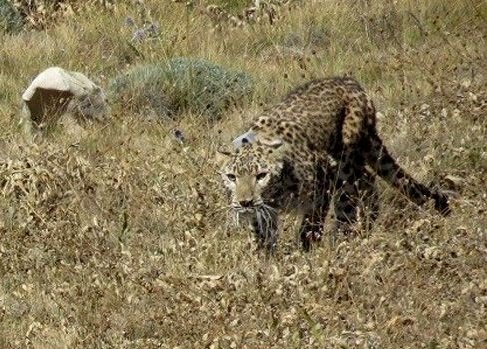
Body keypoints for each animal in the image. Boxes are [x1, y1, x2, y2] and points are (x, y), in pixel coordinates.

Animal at [219, 76, 452, 251]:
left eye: (261, 175)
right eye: (232, 177)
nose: (245, 202)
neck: (276, 195)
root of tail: (349, 81)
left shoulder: (322, 182)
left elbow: (310, 227)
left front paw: (307, 252)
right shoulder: (263, 212)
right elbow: (262, 237)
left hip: (345, 161)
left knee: (353, 193)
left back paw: (345, 236)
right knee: (367, 179)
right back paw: (365, 225)